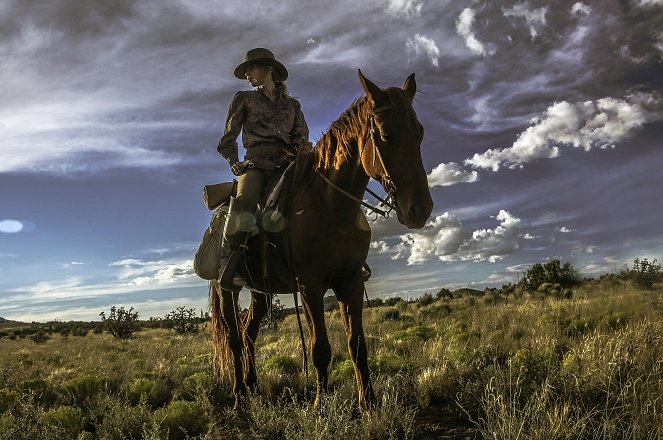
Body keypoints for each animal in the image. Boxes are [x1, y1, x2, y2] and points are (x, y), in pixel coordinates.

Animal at [210, 69, 434, 410]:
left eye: (419, 132)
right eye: (385, 134)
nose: (420, 210)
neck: (331, 206)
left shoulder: (350, 281)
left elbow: (357, 345)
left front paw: (367, 403)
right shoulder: (311, 286)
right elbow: (320, 349)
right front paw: (319, 405)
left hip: (260, 291)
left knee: (249, 333)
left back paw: (254, 388)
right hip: (227, 290)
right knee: (235, 339)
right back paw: (238, 397)